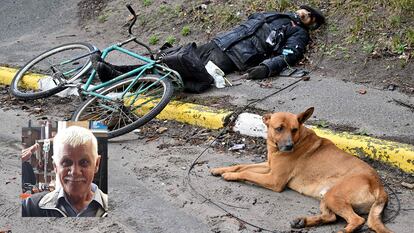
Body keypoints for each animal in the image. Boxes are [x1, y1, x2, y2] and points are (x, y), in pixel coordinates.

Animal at [210, 108, 392, 233]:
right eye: (279, 128)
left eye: (294, 129)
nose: (289, 146)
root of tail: (379, 185)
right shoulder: (269, 166)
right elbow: (241, 165)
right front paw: (220, 169)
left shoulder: (274, 179)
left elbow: (246, 172)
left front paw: (229, 175)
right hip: (327, 196)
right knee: (331, 217)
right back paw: (303, 222)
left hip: (334, 195)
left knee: (357, 220)